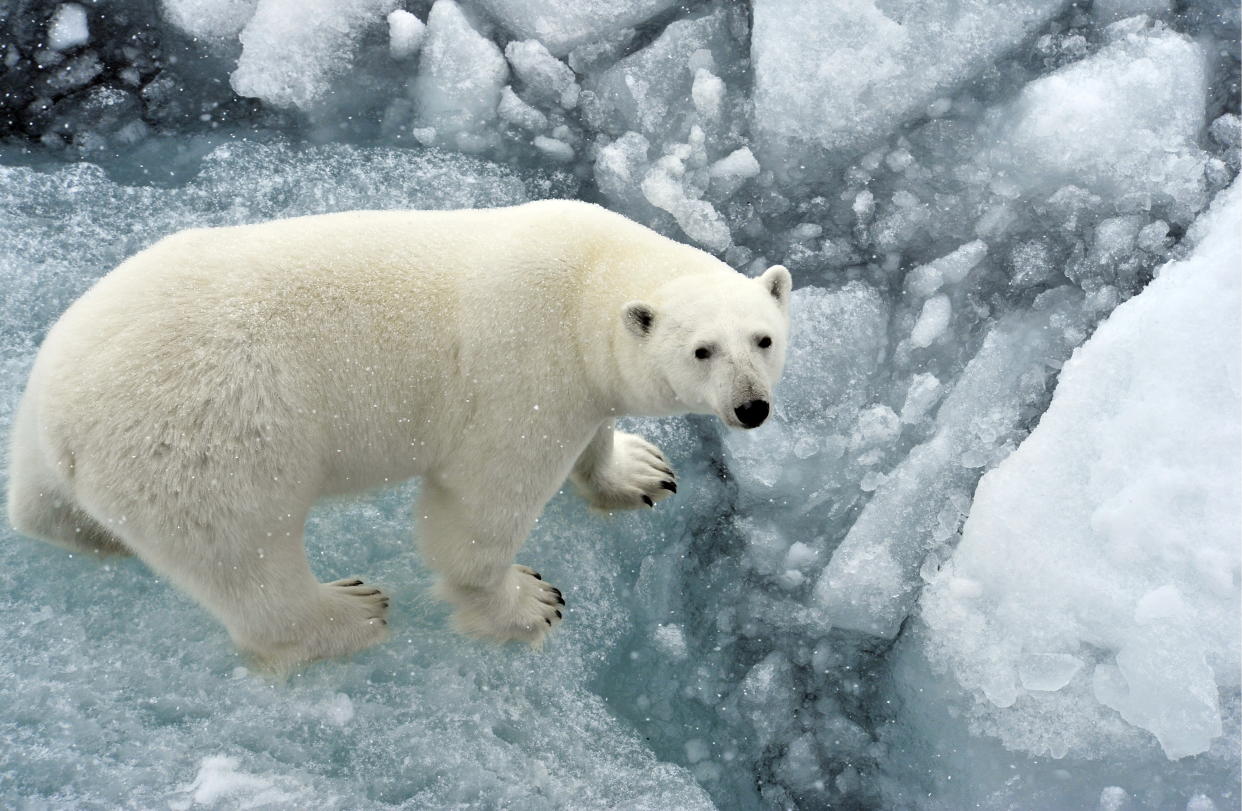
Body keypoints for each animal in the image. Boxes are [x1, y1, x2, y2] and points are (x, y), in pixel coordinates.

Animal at [4, 198, 789, 665]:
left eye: (764, 338)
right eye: (702, 351)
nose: (752, 407)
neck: (587, 275)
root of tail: (58, 415)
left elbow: (595, 435)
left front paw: (640, 470)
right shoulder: (524, 376)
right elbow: (477, 510)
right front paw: (528, 604)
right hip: (205, 437)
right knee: (245, 552)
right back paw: (350, 612)